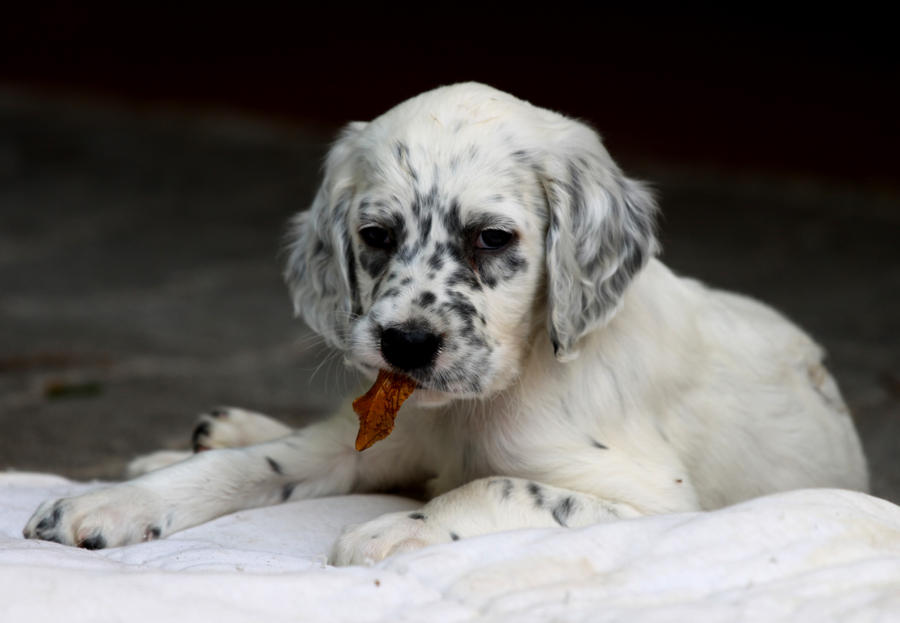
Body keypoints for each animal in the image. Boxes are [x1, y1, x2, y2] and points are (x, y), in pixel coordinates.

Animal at [21, 83, 868, 564]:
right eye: (375, 234)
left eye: (491, 238)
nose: (405, 343)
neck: (479, 404)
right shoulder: (378, 436)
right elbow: (255, 465)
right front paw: (110, 502)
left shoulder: (660, 505)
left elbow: (506, 485)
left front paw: (401, 531)